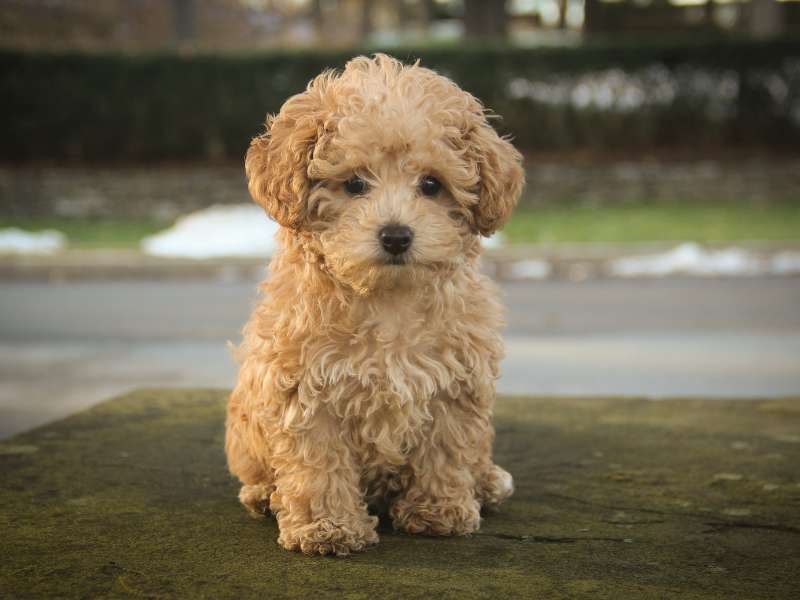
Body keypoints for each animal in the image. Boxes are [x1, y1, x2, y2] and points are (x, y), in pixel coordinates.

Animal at [225, 54, 524, 556]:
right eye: (354, 184)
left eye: (431, 184)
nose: (397, 235)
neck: (387, 298)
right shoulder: (305, 386)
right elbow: (318, 462)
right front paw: (327, 527)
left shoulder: (457, 381)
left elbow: (445, 449)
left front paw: (440, 511)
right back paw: (265, 495)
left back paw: (485, 483)